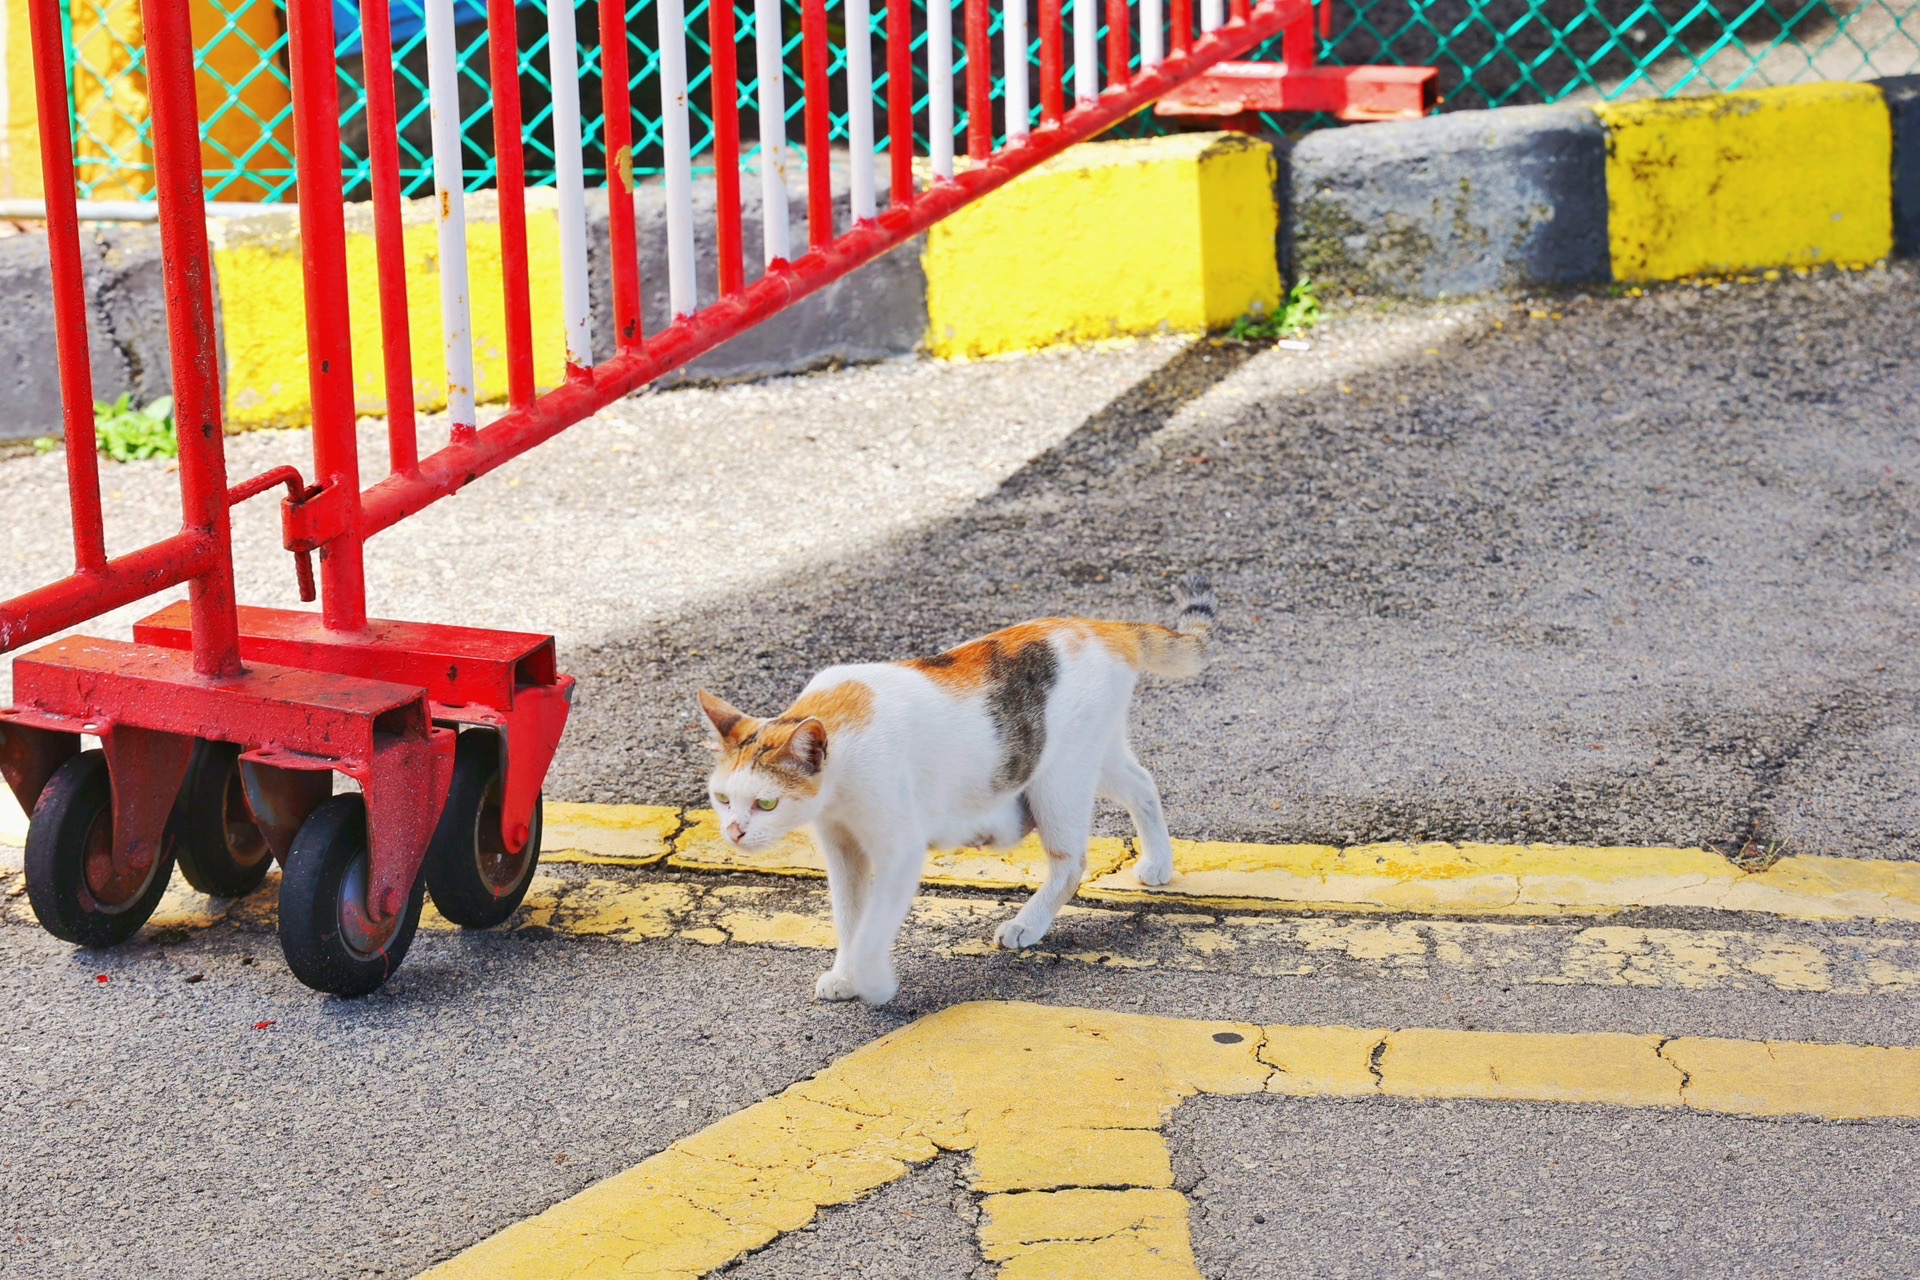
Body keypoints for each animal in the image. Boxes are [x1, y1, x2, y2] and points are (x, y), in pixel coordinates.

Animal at [702, 575, 1213, 1005]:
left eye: (766, 803)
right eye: (722, 798)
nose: (734, 832)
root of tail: (1100, 626)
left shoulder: (900, 850)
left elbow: (873, 925)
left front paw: (873, 982)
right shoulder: (841, 847)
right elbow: (849, 917)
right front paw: (846, 976)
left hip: (1061, 776)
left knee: (1071, 863)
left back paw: (1027, 924)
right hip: (1093, 753)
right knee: (1142, 784)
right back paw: (1158, 863)